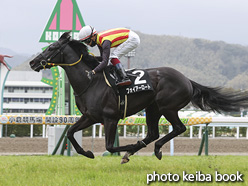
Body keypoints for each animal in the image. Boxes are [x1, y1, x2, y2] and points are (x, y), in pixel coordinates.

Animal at [30, 32, 248, 163]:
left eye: (51, 48)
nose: (33, 63)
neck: (90, 82)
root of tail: (186, 79)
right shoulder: (90, 117)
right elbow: (69, 132)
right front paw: (88, 153)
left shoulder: (110, 118)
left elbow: (109, 145)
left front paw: (127, 147)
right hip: (152, 108)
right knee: (153, 133)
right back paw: (138, 150)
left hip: (167, 107)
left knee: (178, 129)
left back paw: (152, 149)